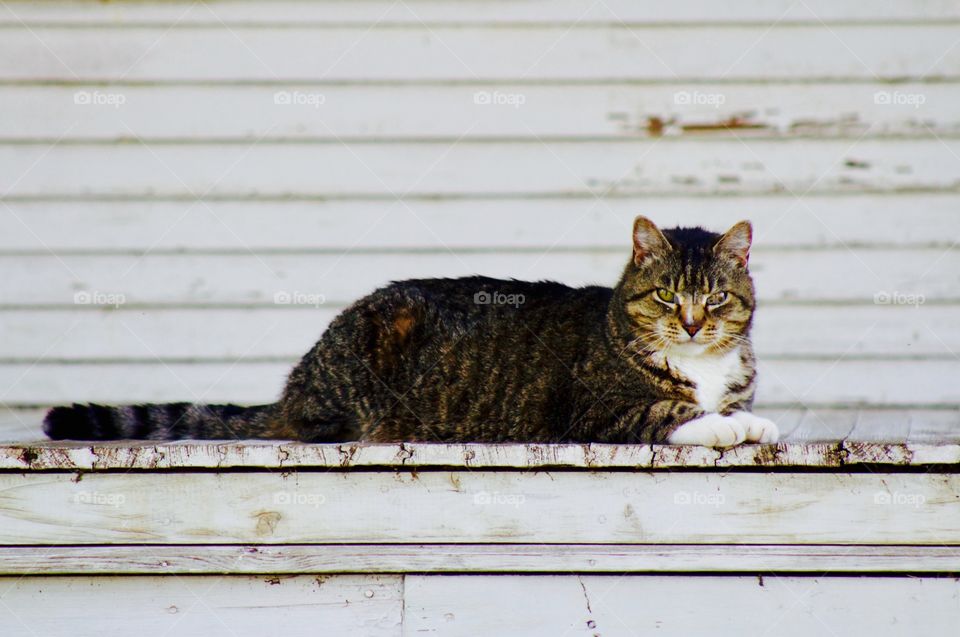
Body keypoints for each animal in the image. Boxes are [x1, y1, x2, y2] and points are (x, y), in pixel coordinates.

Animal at [47, 217, 780, 448]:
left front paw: (749, 417)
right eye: (666, 295)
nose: (692, 322)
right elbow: (676, 410)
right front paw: (733, 425)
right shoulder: (599, 410)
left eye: (716, 297)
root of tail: (294, 385)